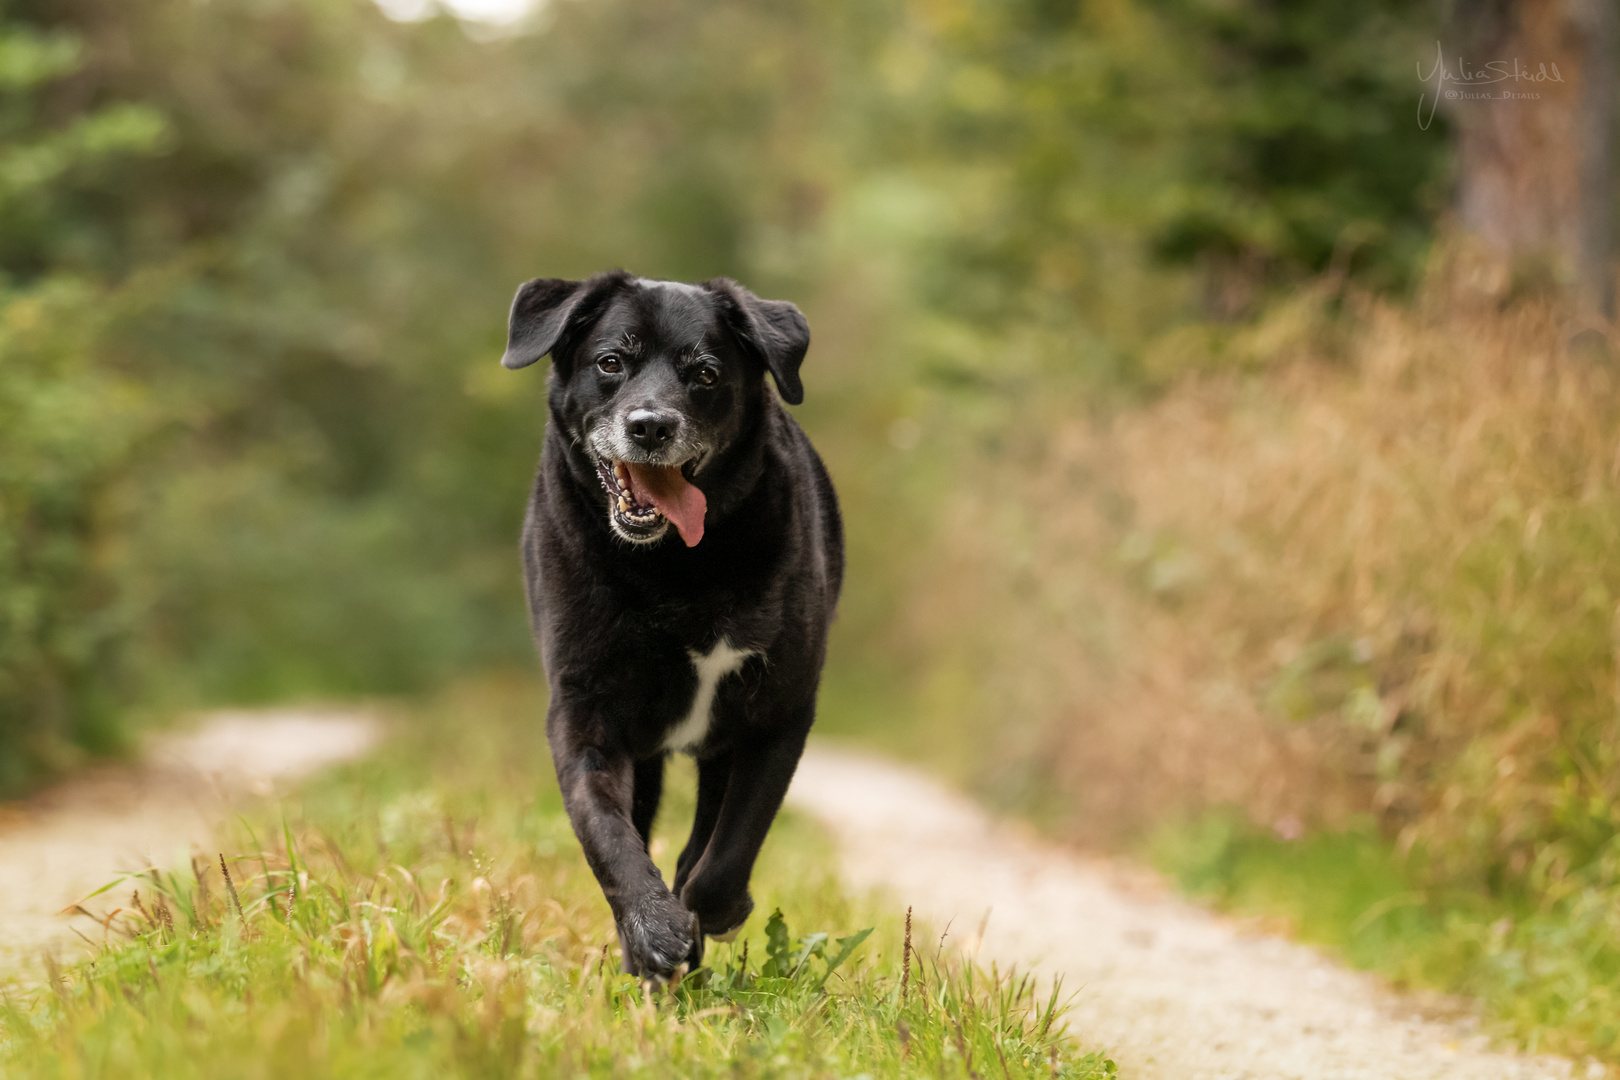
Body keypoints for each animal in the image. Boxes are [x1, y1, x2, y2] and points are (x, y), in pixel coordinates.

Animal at [498, 270, 842, 977]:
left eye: (705, 374)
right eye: (610, 362)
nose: (651, 425)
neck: (676, 566)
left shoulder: (779, 713)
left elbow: (733, 841)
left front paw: (711, 911)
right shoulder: (586, 712)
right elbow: (606, 833)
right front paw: (653, 929)